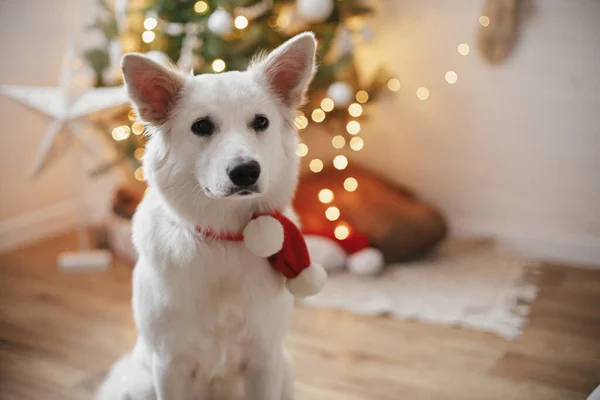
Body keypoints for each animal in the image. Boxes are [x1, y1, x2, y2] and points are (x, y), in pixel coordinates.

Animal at [96, 32, 326, 398]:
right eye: (202, 126)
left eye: (261, 122)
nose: (246, 172)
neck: (225, 240)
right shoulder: (169, 366)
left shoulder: (265, 359)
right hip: (143, 383)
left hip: (285, 370)